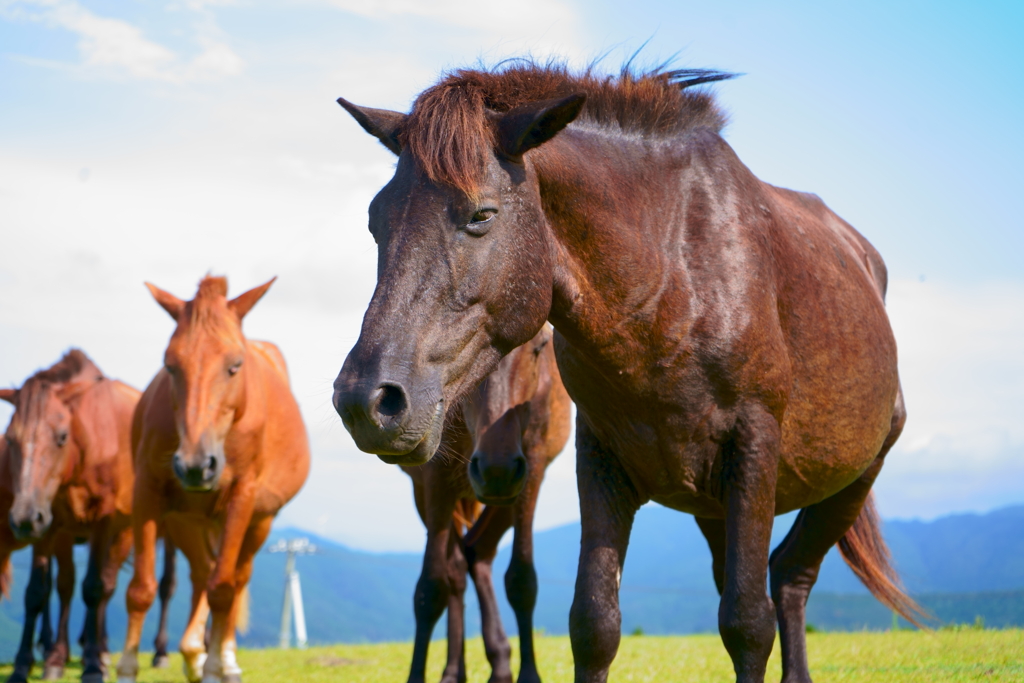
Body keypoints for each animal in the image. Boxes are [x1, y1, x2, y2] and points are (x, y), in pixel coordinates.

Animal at [0, 350, 157, 679]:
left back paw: (98, 652)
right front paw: (29, 664)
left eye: (62, 437)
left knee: (107, 585)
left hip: (124, 533)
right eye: (9, 439)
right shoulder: (52, 527)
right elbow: (41, 591)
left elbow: (94, 588)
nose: (23, 517)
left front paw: (93, 666)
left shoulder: (103, 522)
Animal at [116, 276, 307, 683]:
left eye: (235, 366)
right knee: (203, 572)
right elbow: (140, 589)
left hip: (259, 521)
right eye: (169, 366)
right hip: (187, 520)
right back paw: (193, 654)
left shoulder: (242, 497)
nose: (195, 465)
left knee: (236, 577)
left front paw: (219, 664)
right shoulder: (148, 493)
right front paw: (127, 669)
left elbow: (224, 588)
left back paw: (224, 658)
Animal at [401, 325, 577, 683]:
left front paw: (528, 673)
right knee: (456, 567)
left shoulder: (531, 469)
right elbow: (430, 588)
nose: (497, 468)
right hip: (431, 494)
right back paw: (455, 670)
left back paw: (499, 662)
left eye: (539, 346)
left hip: (504, 496)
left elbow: (522, 580)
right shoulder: (434, 478)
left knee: (478, 554)